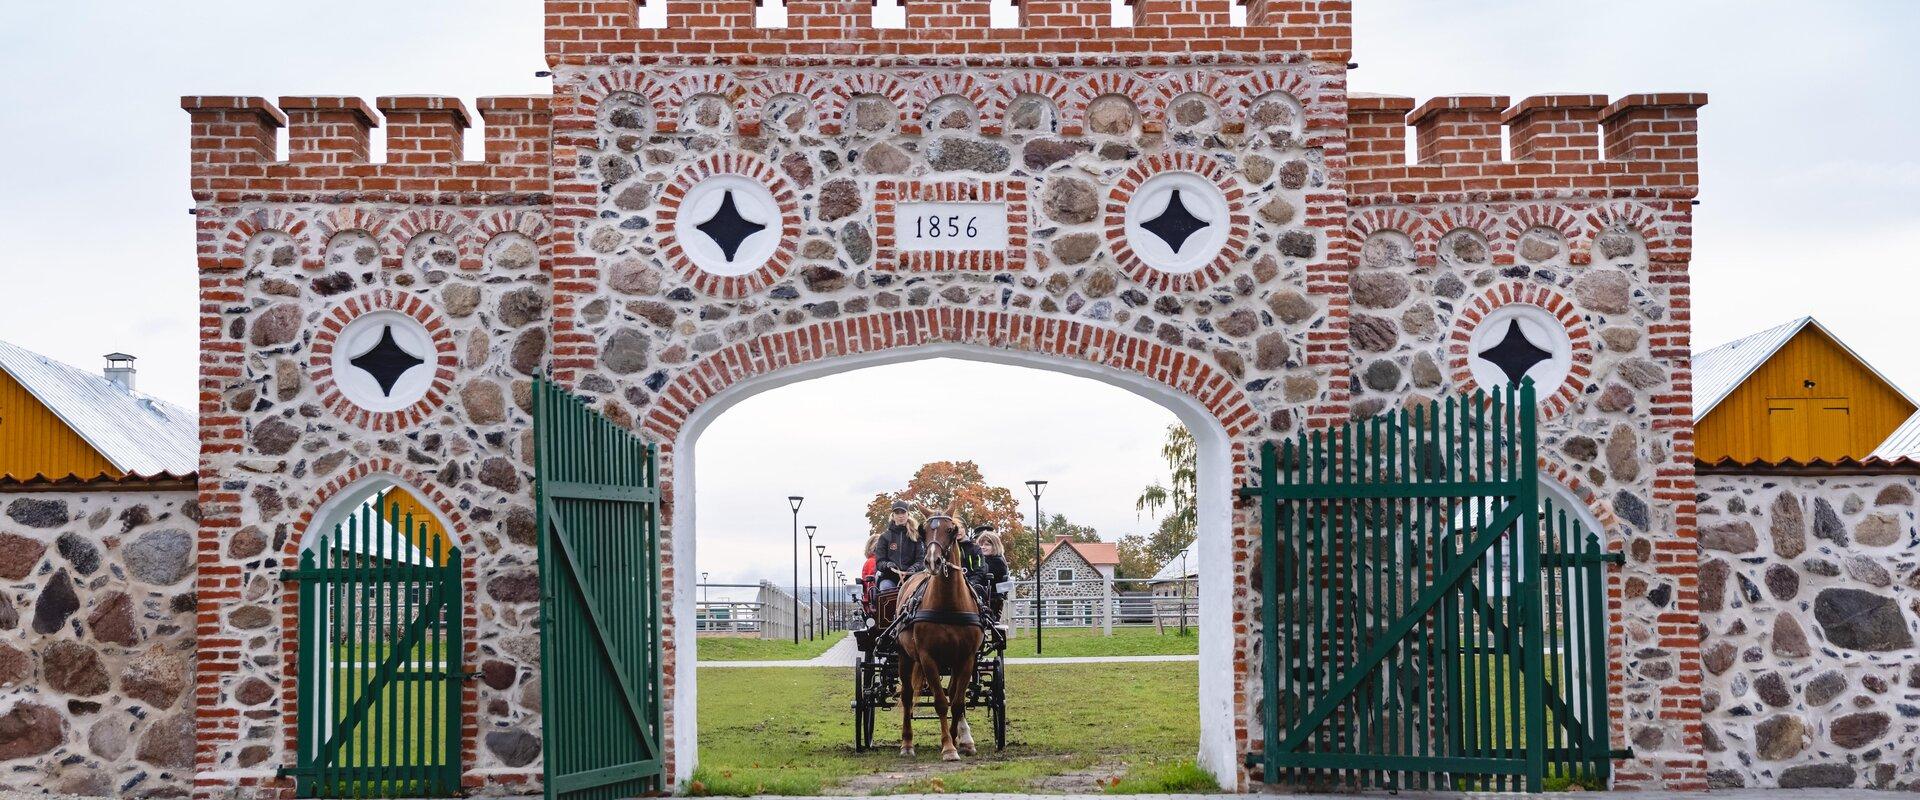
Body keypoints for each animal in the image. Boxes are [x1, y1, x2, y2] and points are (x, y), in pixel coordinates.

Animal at [894, 506, 983, 755]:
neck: (948, 605)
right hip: (905, 656)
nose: (932, 561)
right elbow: (941, 702)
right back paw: (907, 743)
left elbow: (958, 702)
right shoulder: (927, 657)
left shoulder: (966, 658)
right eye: (923, 531)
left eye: (951, 530)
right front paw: (948, 748)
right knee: (907, 696)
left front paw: (957, 739)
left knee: (952, 693)